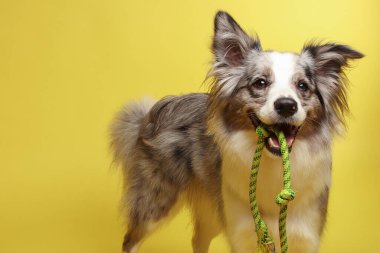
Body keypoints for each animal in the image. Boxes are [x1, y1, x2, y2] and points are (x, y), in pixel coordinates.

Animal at [109, 10, 362, 253]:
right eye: (260, 83)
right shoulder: (242, 233)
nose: (286, 106)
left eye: (302, 86)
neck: (273, 166)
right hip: (157, 200)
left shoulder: (304, 235)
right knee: (130, 239)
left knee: (198, 240)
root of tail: (151, 113)